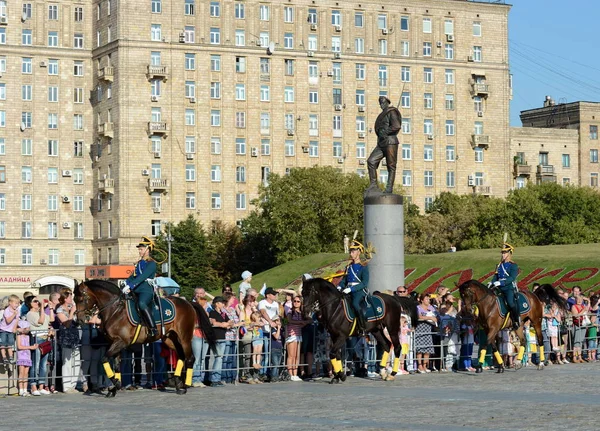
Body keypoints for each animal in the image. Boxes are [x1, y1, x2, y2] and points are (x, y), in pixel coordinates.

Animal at [74, 280, 213, 398]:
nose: (79, 320)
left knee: (190, 358)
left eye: (82, 299)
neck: (115, 310)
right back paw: (179, 384)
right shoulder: (114, 343)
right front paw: (114, 388)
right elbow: (116, 365)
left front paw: (116, 383)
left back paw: (186, 385)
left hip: (184, 338)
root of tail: (188, 302)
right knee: (181, 356)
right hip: (170, 339)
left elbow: (104, 359)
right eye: (74, 300)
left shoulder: (121, 342)